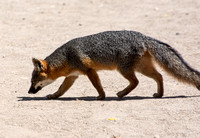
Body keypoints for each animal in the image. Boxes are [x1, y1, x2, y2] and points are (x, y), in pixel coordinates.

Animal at [28, 30, 200, 99]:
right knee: (159, 76)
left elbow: (97, 85)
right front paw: (53, 96)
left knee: (136, 81)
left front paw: (101, 96)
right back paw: (159, 94)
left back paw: (122, 94)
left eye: (33, 82)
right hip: (141, 67)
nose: (29, 92)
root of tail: (143, 36)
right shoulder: (73, 76)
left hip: (124, 69)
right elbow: (61, 89)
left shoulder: (89, 70)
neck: (67, 57)